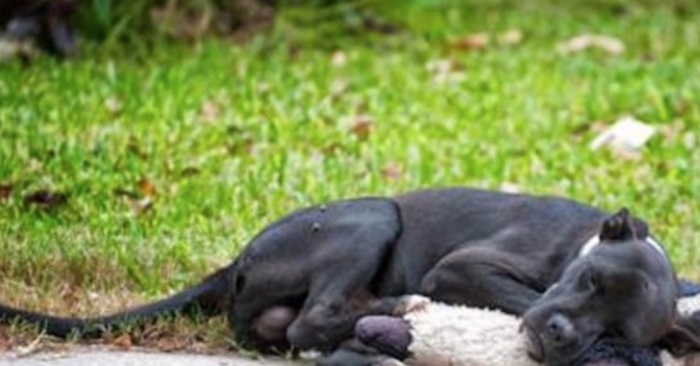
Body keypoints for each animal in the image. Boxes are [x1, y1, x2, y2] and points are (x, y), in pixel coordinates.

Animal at [1, 187, 700, 364]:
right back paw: (399, 311)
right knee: (312, 322)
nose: (559, 336)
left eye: (618, 331)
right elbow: (516, 293)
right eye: (589, 283)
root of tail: (235, 265)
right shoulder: (464, 267)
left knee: (303, 330)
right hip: (372, 216)